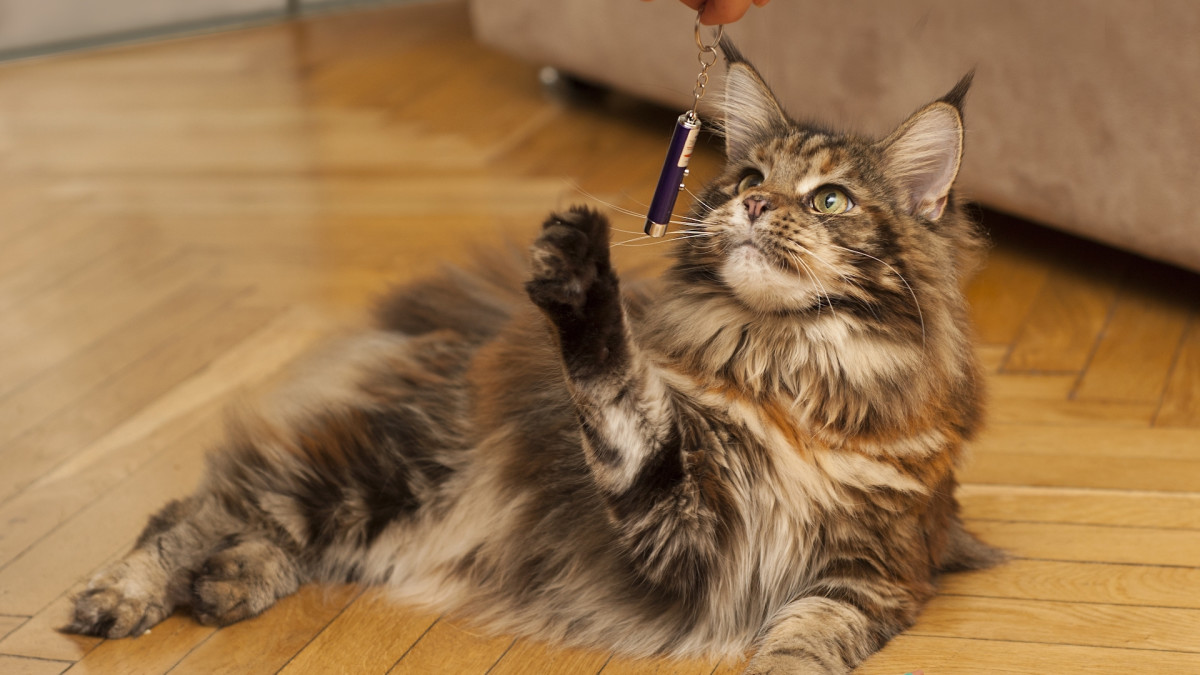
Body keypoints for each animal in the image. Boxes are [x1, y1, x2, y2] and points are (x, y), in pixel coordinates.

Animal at [65, 44, 1003, 667]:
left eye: (829, 199)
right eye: (747, 180)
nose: (755, 205)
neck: (794, 373)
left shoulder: (866, 578)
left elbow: (803, 647)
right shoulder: (681, 526)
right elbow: (620, 393)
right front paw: (582, 275)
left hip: (382, 500)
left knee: (270, 528)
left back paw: (228, 581)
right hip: (393, 466)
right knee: (202, 507)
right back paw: (125, 594)